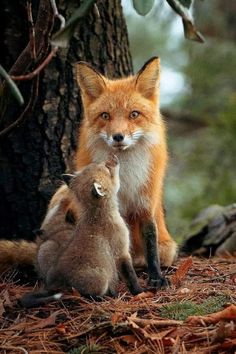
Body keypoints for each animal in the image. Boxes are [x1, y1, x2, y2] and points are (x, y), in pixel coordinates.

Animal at [0, 56, 177, 286]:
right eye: (105, 116)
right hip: (62, 193)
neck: (125, 173)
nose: (118, 137)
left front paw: (156, 278)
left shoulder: (146, 201)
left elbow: (151, 242)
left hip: (168, 249)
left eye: (134, 114)